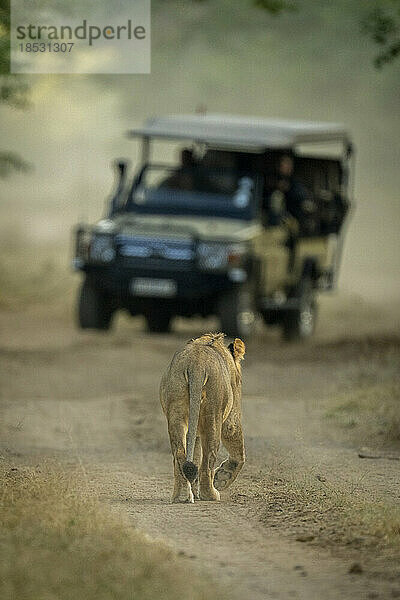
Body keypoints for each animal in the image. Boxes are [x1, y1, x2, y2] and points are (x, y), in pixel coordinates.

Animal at [160, 332, 247, 502]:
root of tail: (197, 364)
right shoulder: (231, 418)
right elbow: (239, 451)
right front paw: (223, 477)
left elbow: (194, 454)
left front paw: (194, 490)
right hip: (213, 412)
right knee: (208, 459)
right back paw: (211, 494)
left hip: (176, 407)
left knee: (179, 453)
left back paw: (182, 496)